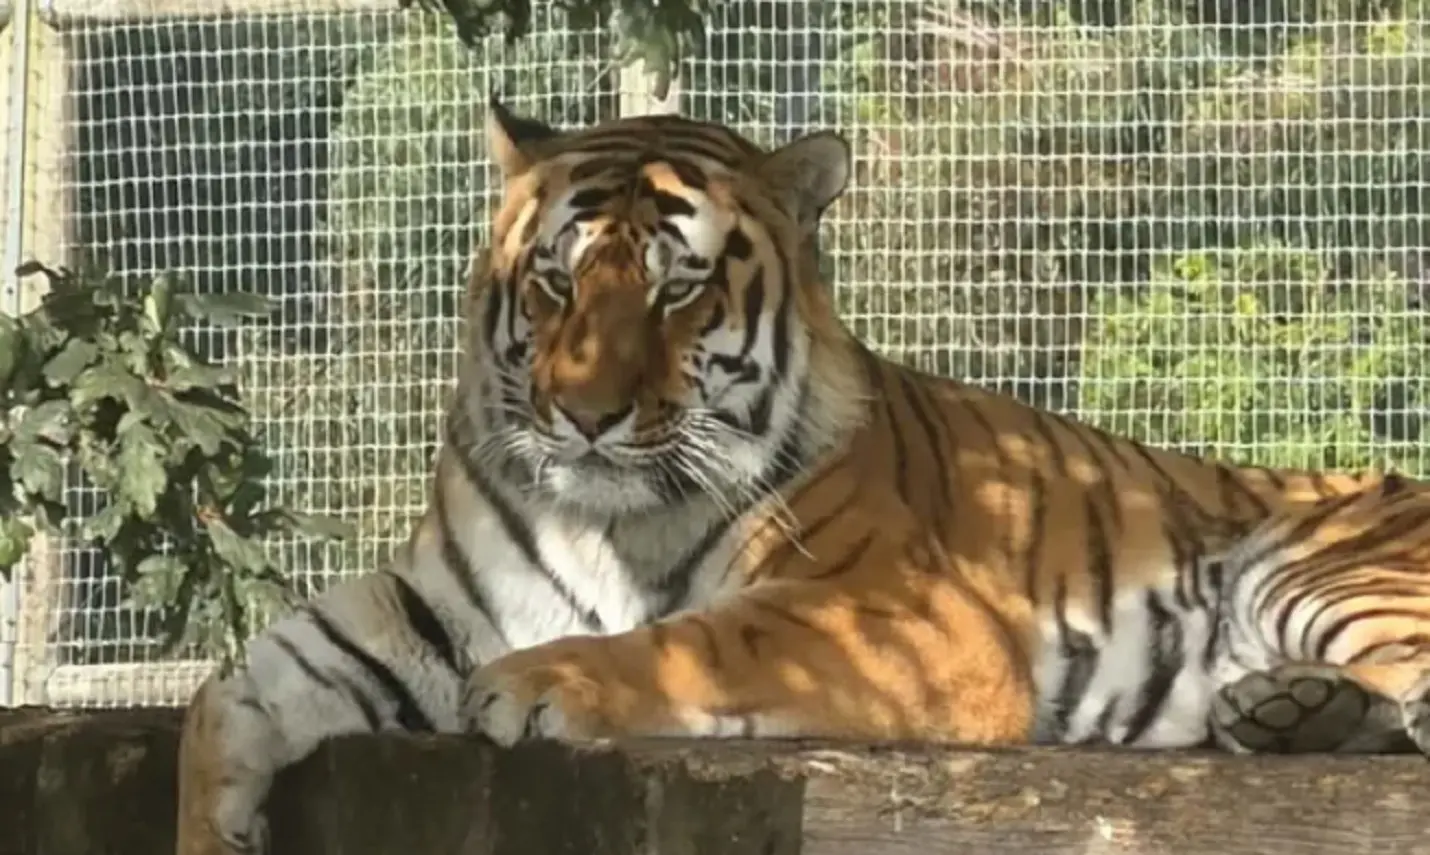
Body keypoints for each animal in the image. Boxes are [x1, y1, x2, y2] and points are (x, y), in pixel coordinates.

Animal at [175, 98, 1430, 855]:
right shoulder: (416, 610)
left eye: (677, 289)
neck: (593, 518)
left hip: (1306, 566)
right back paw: (1287, 709)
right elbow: (223, 701)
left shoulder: (903, 617)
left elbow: (691, 640)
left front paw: (540, 680)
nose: (584, 415)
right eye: (555, 282)